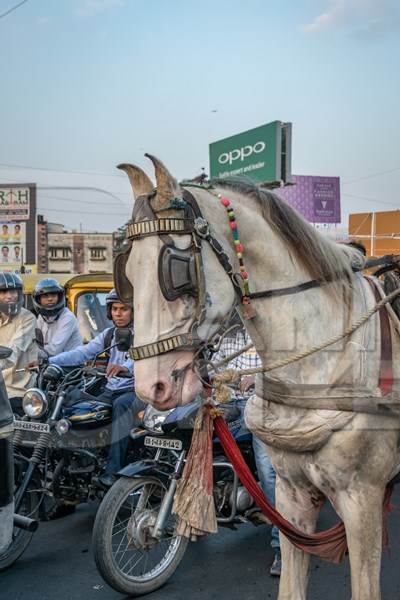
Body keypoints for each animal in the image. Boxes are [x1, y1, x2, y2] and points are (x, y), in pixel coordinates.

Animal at [115, 156, 400, 600]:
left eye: (175, 268)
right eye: (126, 272)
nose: (152, 387)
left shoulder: (363, 499)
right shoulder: (291, 493)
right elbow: (291, 584)